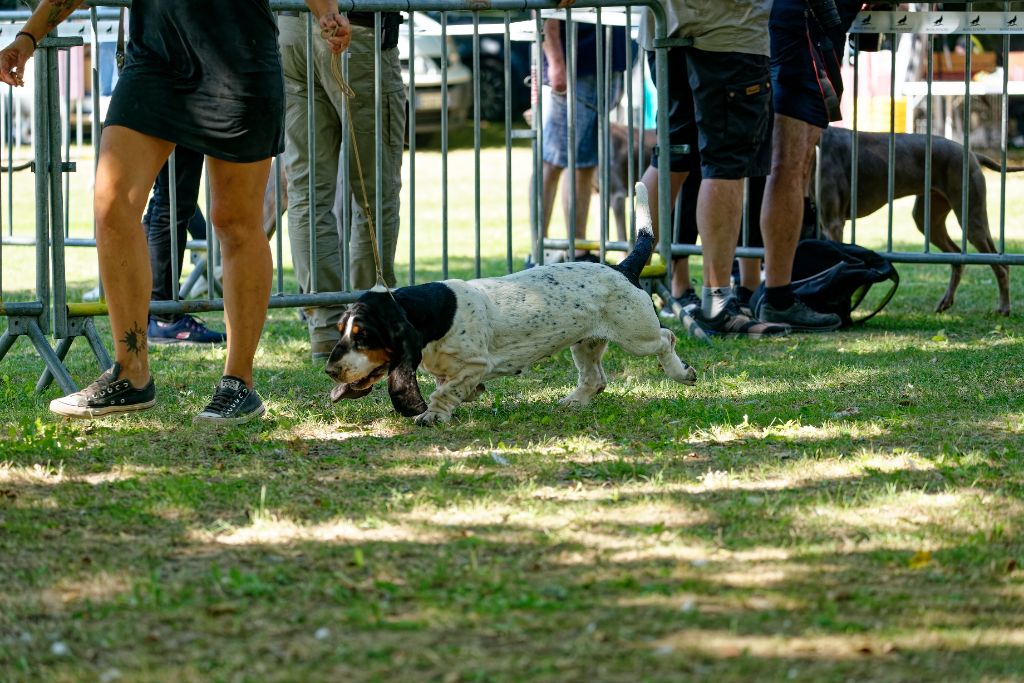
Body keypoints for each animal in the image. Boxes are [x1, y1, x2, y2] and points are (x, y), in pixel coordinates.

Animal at [325, 184, 696, 423]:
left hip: (637, 336)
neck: (433, 314)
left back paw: (681, 372)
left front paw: (432, 415)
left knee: (667, 339)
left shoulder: (475, 364)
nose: (330, 370)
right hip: (586, 343)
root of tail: (622, 268)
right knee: (595, 379)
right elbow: (454, 387)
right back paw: (573, 402)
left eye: (363, 335)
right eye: (340, 329)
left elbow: (445, 392)